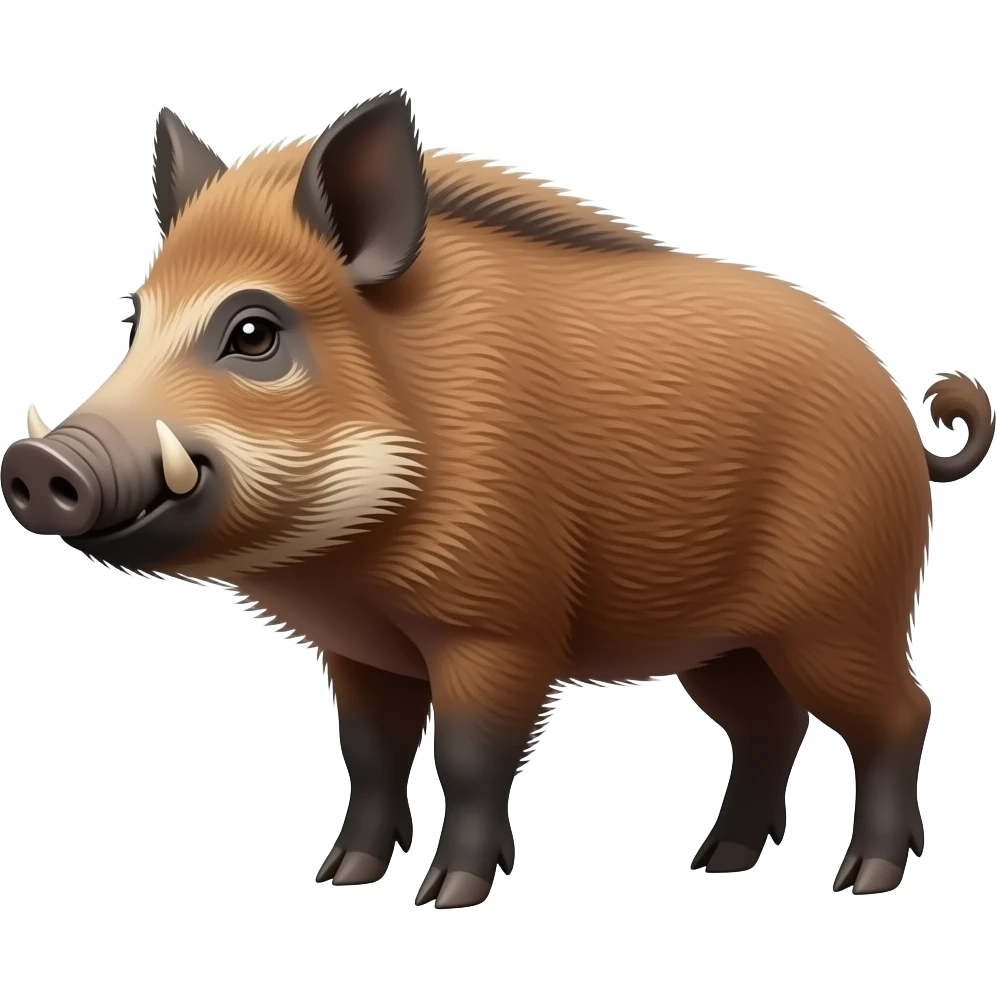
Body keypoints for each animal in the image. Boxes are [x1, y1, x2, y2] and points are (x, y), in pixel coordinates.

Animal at [2, 90, 994, 908]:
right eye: (134, 321)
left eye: (253, 331)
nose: (37, 464)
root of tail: (906, 419)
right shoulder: (357, 649)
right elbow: (369, 755)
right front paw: (341, 878)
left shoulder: (501, 625)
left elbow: (471, 756)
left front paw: (446, 897)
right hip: (724, 641)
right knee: (768, 724)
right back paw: (715, 863)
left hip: (843, 609)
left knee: (900, 712)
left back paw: (862, 879)